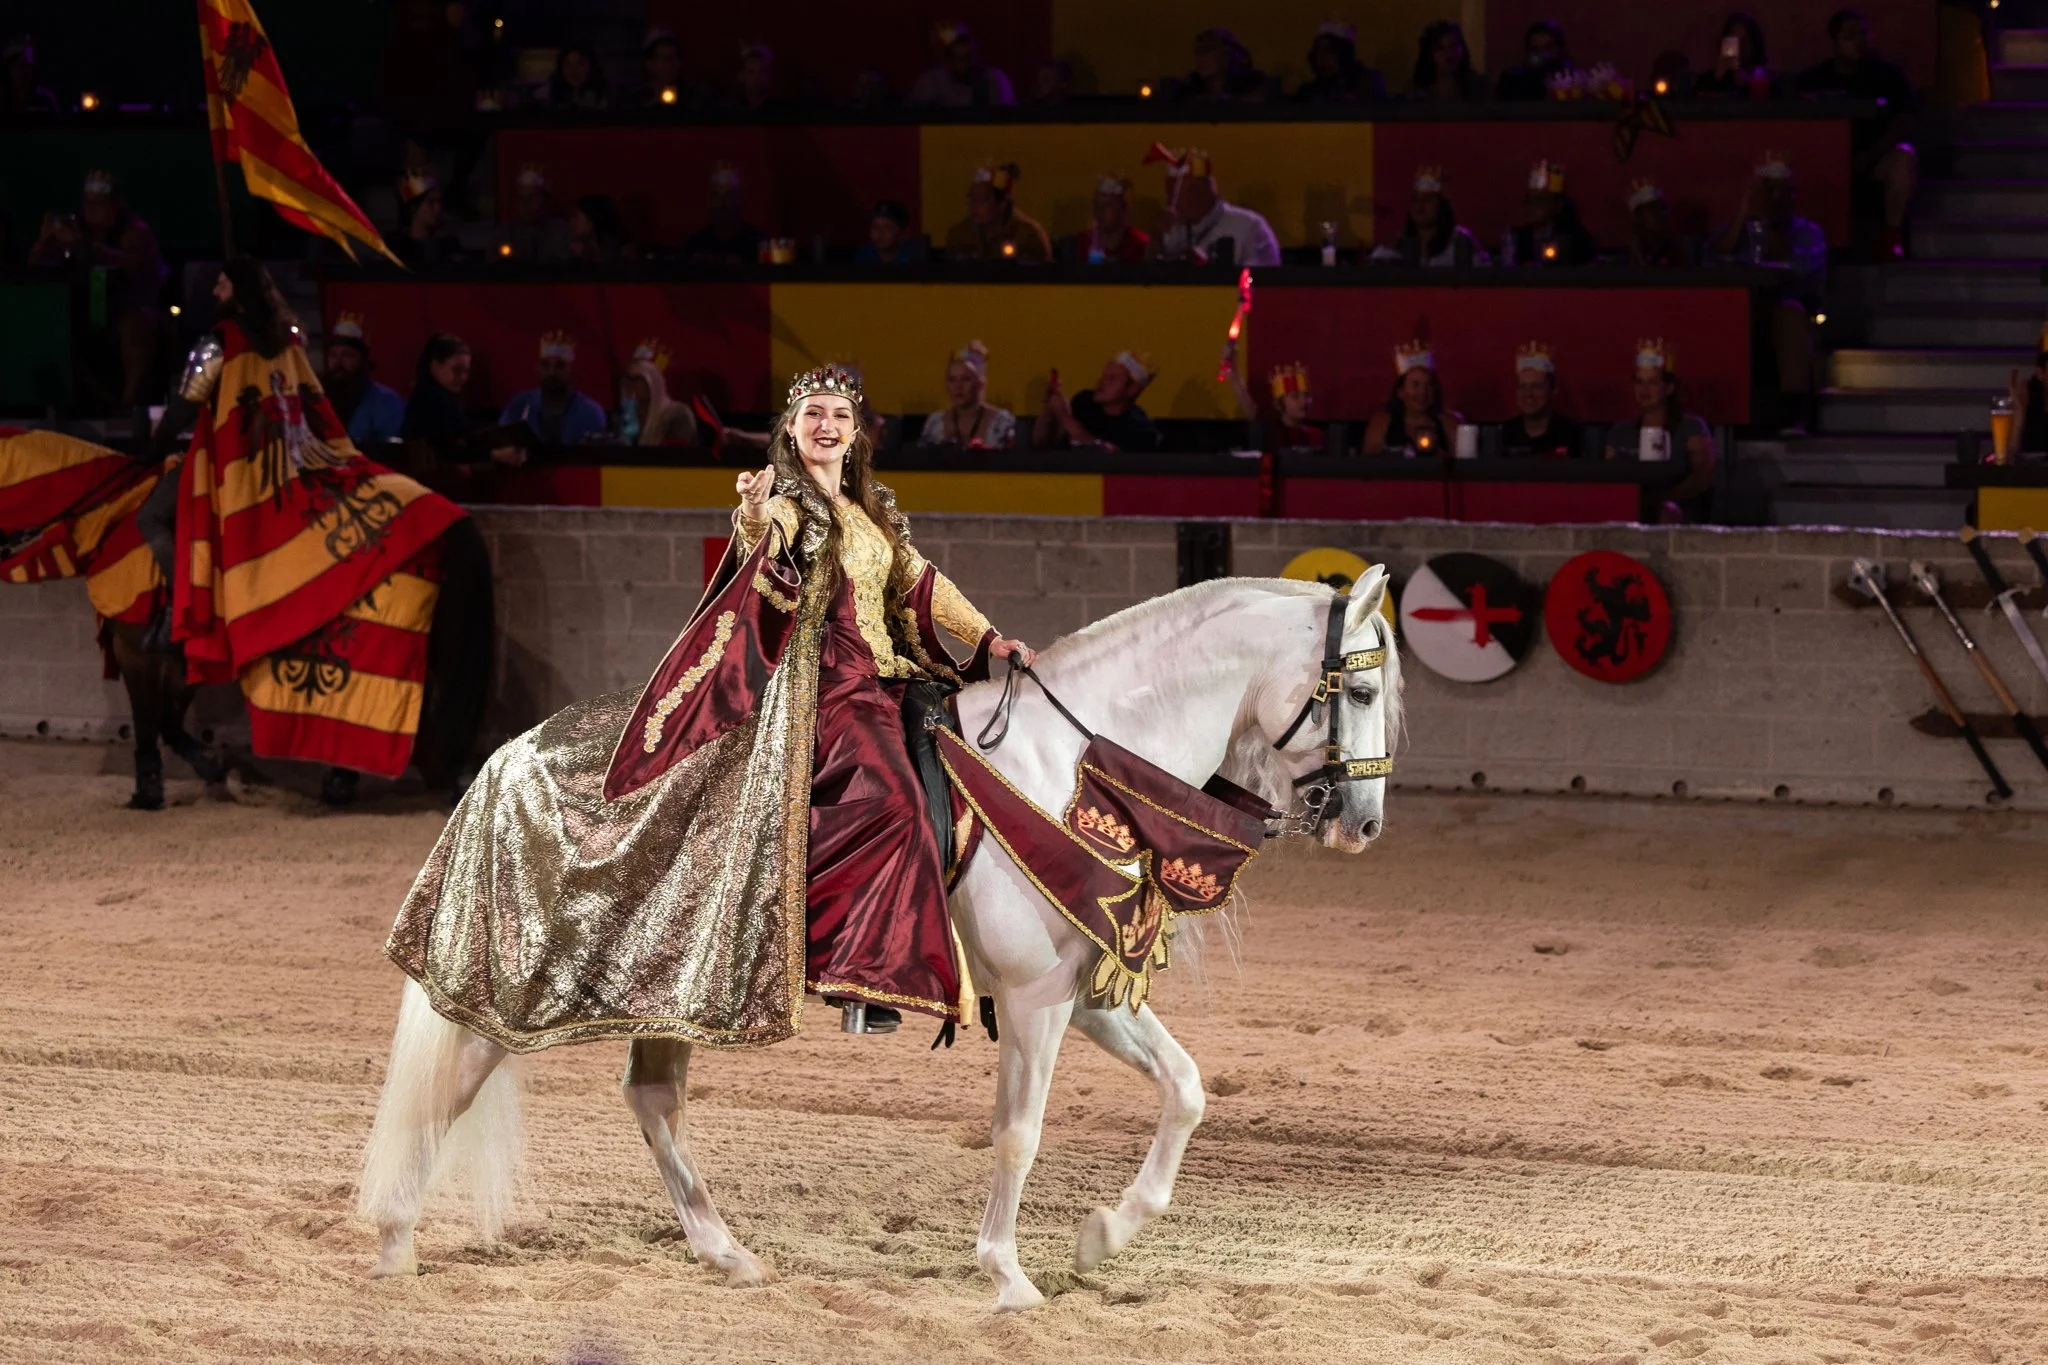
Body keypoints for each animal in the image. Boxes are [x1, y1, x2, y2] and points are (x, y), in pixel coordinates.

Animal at [357, 570, 1401, 1310]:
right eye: (1359, 691)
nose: (1363, 823)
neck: (1069, 766)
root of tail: (513, 750)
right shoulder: (1033, 1001)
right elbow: (1019, 1132)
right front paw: (1008, 1275)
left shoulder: (1082, 996)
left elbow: (1185, 1089)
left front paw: (1104, 1233)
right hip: (528, 984)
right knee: (450, 1084)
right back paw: (394, 1243)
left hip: (670, 985)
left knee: (651, 1099)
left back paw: (726, 1252)